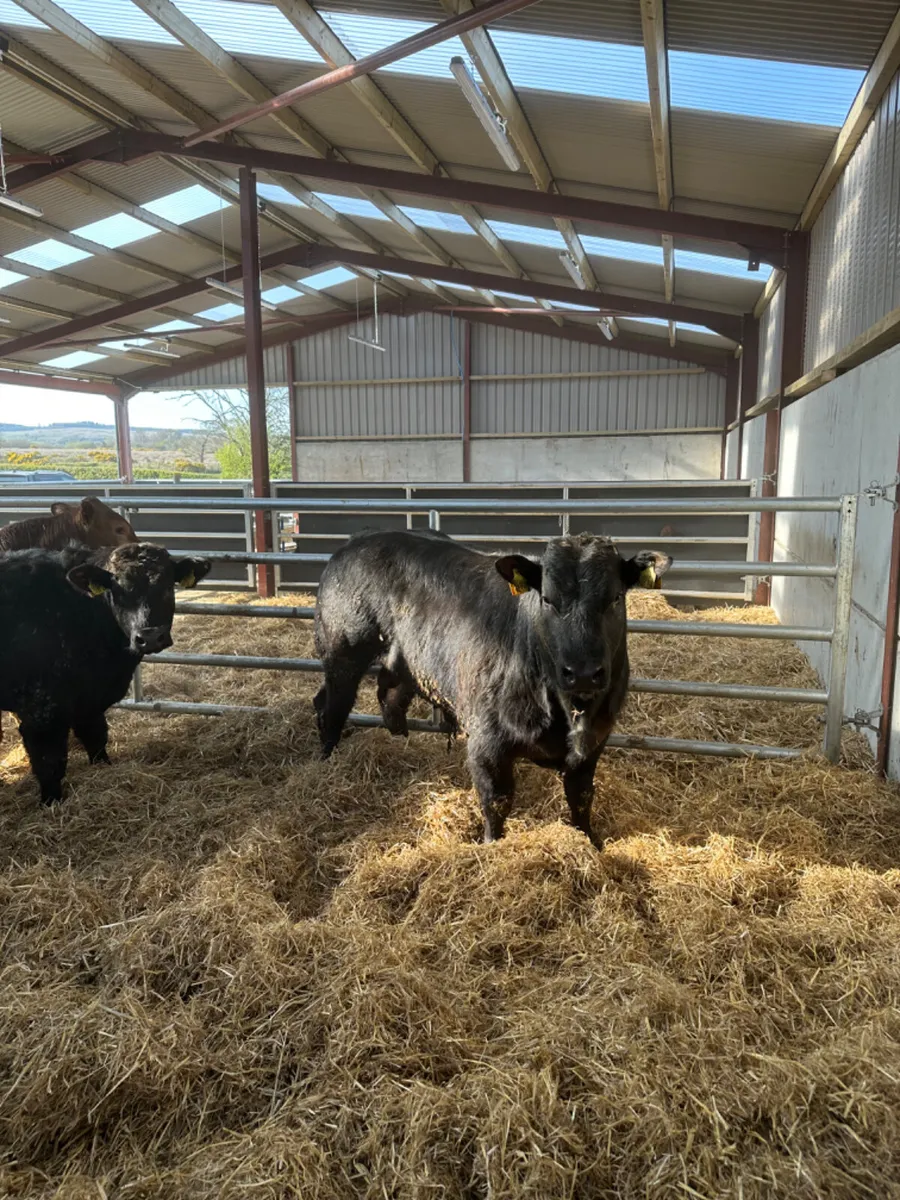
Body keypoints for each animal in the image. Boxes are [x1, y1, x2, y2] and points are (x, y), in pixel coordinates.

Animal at [0, 542, 210, 805]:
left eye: (168, 584)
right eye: (117, 590)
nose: (150, 637)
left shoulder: (89, 701)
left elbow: (96, 737)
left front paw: (103, 768)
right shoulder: (41, 710)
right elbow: (49, 762)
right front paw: (51, 801)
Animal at [313, 531, 672, 849]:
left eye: (615, 598)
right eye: (547, 599)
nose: (583, 673)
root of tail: (355, 543)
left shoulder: (594, 743)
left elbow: (581, 797)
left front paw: (590, 842)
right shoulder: (487, 743)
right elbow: (496, 801)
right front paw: (490, 845)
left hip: (404, 663)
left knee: (386, 697)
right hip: (343, 652)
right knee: (331, 706)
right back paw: (326, 762)